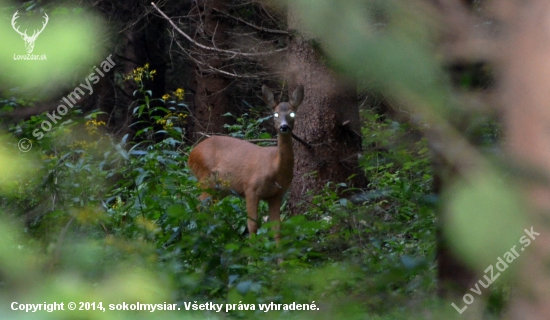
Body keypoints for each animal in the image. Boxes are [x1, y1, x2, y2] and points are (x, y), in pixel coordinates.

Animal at [188, 85, 304, 242]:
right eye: (275, 114)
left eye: (292, 113)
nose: (284, 127)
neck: (275, 167)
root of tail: (191, 154)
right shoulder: (251, 188)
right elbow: (252, 225)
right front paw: (252, 248)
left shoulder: (276, 195)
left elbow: (277, 228)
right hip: (206, 179)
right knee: (199, 206)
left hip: (221, 189)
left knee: (208, 209)